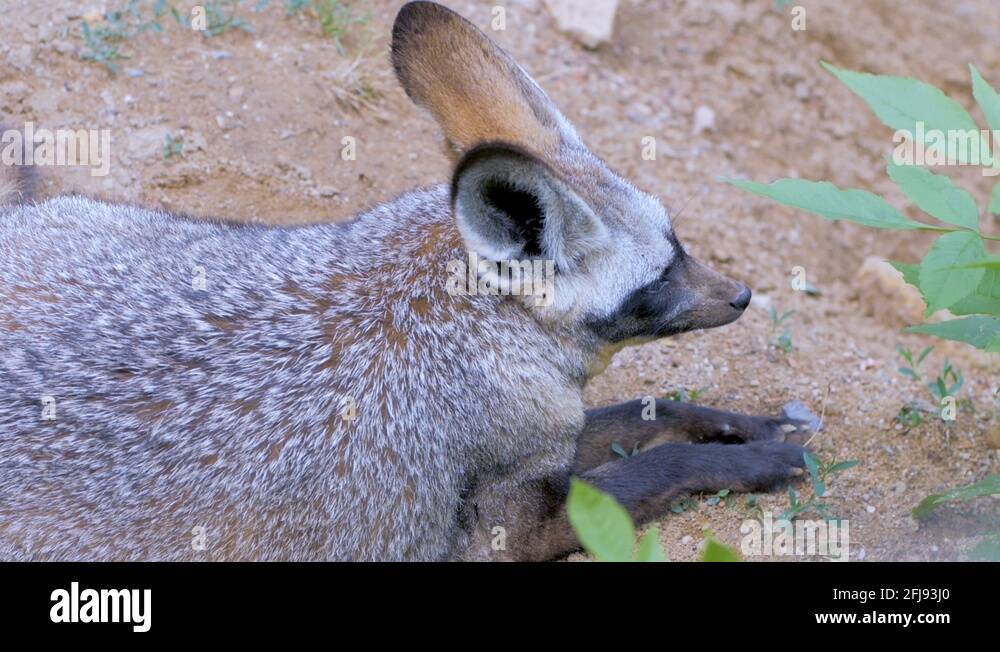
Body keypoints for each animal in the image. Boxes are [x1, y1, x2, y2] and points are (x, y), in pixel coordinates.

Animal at [0, 1, 819, 562]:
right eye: (659, 279)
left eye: (678, 240)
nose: (741, 295)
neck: (461, 324)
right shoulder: (514, 526)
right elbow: (659, 464)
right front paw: (757, 459)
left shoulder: (551, 440)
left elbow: (651, 410)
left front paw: (751, 426)